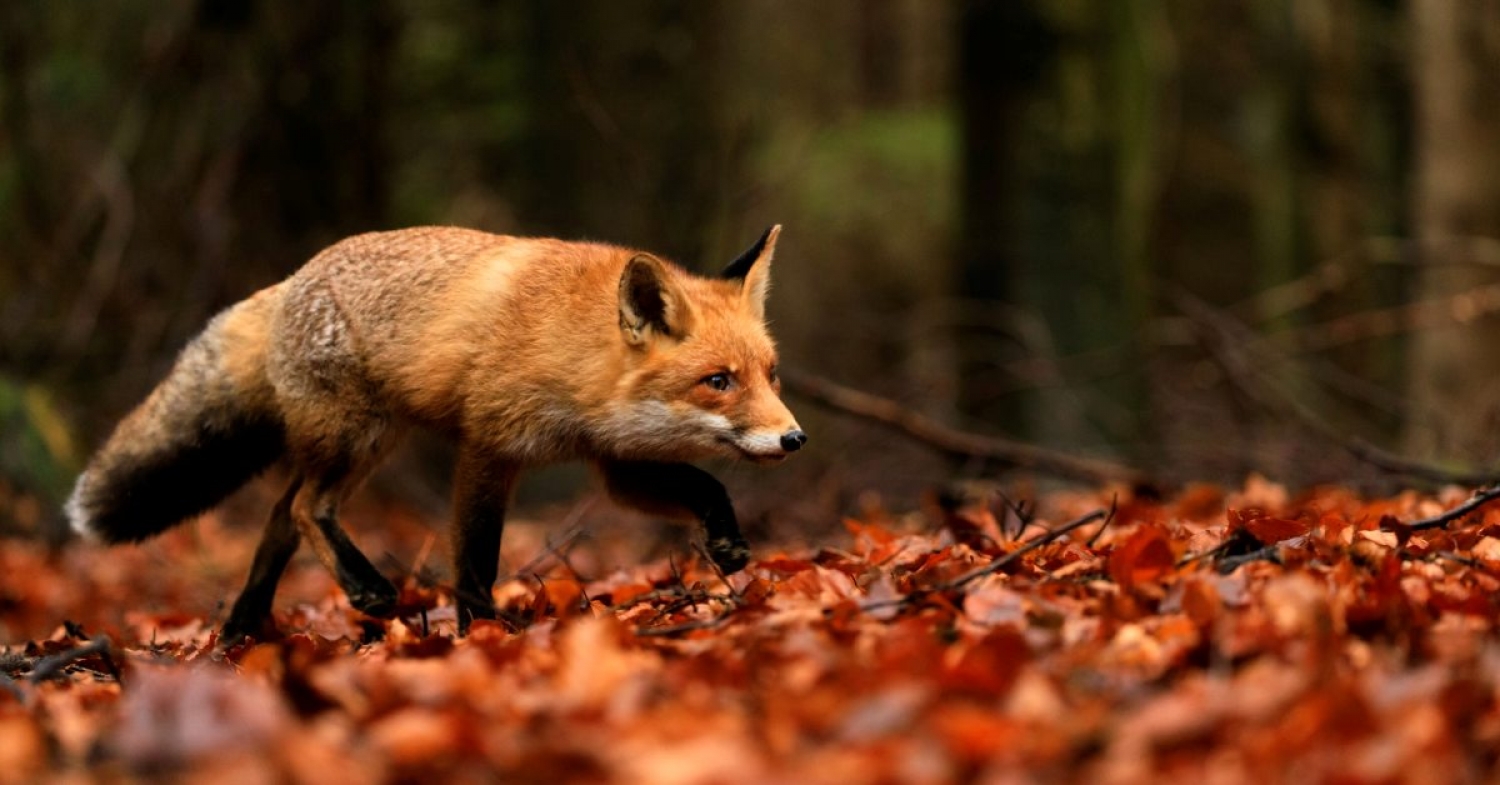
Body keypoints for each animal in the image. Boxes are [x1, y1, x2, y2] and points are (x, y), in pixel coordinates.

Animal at [66, 225, 805, 642]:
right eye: (718, 380)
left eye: (771, 375)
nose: (794, 439)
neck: (573, 349)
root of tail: (288, 281)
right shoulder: (489, 445)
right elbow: (474, 559)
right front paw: (480, 636)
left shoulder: (614, 461)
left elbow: (705, 484)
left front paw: (727, 542)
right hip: (360, 436)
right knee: (304, 507)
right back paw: (364, 590)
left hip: (358, 442)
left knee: (278, 515)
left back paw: (241, 632)